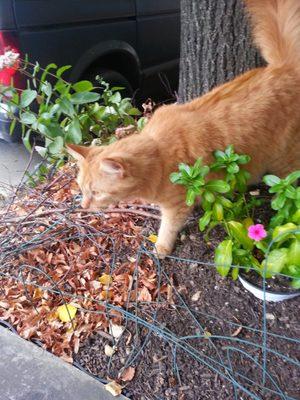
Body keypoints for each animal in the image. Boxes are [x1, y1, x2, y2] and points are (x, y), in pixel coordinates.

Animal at [67, 0, 300, 256]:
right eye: (82, 189)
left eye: (97, 193)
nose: (84, 205)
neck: (157, 156)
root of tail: (284, 68)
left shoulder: (175, 205)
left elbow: (168, 228)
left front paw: (161, 248)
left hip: (284, 163)